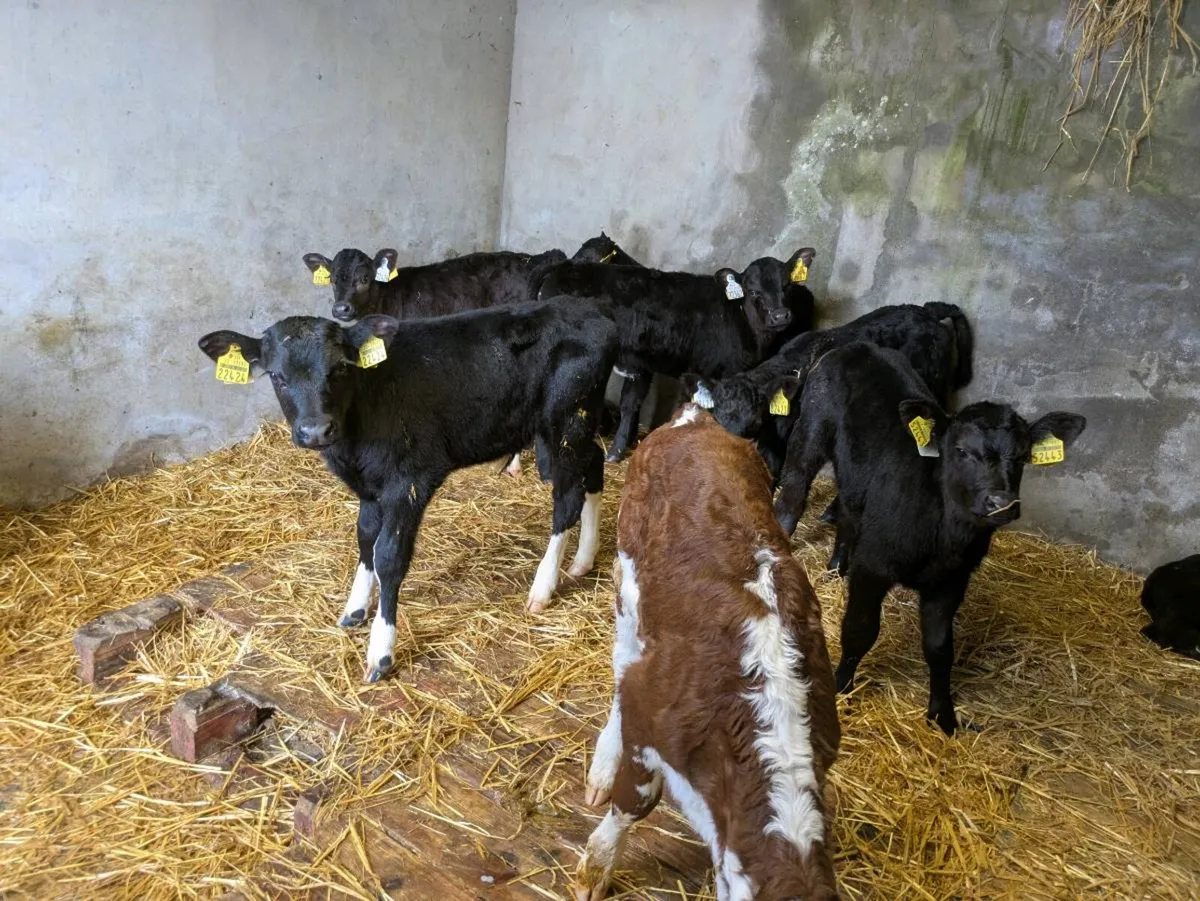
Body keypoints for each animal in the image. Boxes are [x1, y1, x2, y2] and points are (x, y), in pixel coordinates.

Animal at [198, 302, 617, 682]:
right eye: (276, 376)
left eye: (340, 369)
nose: (316, 431)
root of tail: (589, 310)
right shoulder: (369, 488)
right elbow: (365, 538)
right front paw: (355, 608)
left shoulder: (411, 481)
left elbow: (388, 556)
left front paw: (380, 650)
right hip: (578, 425)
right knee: (594, 466)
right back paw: (584, 558)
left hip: (566, 420)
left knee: (567, 499)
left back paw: (543, 586)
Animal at [575, 402, 840, 901]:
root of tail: (696, 418)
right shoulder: (648, 719)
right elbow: (634, 801)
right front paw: (597, 864)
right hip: (629, 592)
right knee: (621, 666)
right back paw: (602, 762)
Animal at [769, 341, 1085, 734]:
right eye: (961, 450)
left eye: (1024, 456)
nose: (1001, 502)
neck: (941, 538)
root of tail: (854, 345)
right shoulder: (873, 566)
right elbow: (859, 629)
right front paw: (841, 686)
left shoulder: (951, 582)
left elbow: (939, 648)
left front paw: (942, 714)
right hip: (810, 432)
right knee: (793, 496)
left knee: (848, 504)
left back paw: (838, 564)